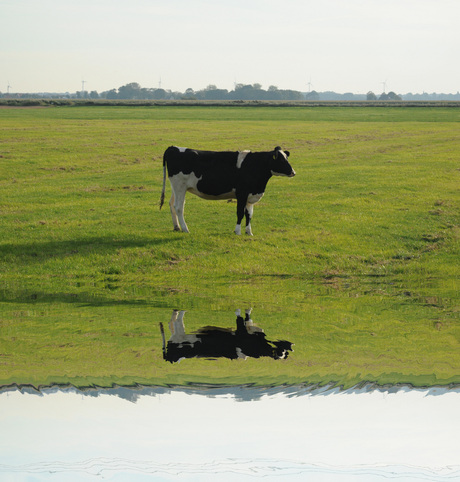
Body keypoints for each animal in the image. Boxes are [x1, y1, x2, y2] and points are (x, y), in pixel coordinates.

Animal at [159, 146, 294, 234]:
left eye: (286, 158)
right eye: (281, 160)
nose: (293, 172)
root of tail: (173, 147)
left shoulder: (250, 195)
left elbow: (249, 214)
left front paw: (249, 232)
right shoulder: (242, 194)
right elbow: (240, 213)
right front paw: (237, 231)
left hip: (177, 188)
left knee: (171, 204)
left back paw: (177, 227)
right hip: (180, 186)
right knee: (179, 207)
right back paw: (185, 229)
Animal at [160, 308, 292, 362]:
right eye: (282, 351)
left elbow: (246, 318)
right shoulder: (241, 331)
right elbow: (242, 317)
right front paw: (241, 310)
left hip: (180, 336)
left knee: (174, 324)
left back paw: (176, 313)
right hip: (182, 337)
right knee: (177, 322)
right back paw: (180, 311)